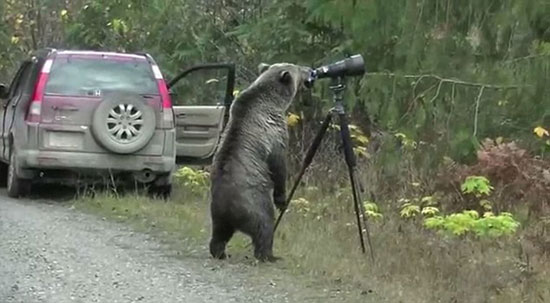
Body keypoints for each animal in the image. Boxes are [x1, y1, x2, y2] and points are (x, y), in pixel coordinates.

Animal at [209, 63, 312, 262]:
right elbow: (279, 164)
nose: (309, 70)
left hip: (217, 214)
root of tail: (227, 208)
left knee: (219, 233)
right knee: (264, 226)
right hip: (254, 203)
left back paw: (220, 252)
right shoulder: (274, 131)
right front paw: (282, 199)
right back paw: (269, 255)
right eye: (297, 69)